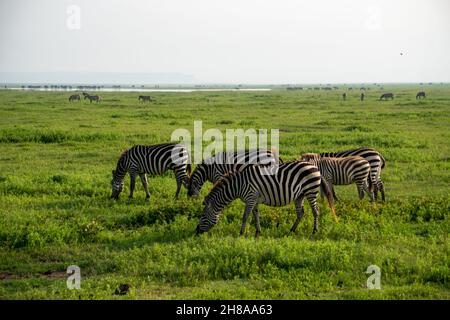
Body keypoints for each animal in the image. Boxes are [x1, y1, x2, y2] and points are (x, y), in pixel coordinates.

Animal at [195, 161, 336, 236]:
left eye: (202, 216)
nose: (196, 232)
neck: (238, 185)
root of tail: (314, 167)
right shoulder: (254, 199)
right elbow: (256, 214)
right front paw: (258, 232)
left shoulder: (250, 197)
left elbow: (245, 216)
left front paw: (241, 233)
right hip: (299, 194)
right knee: (301, 212)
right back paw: (292, 230)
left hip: (310, 191)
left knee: (315, 211)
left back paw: (314, 231)